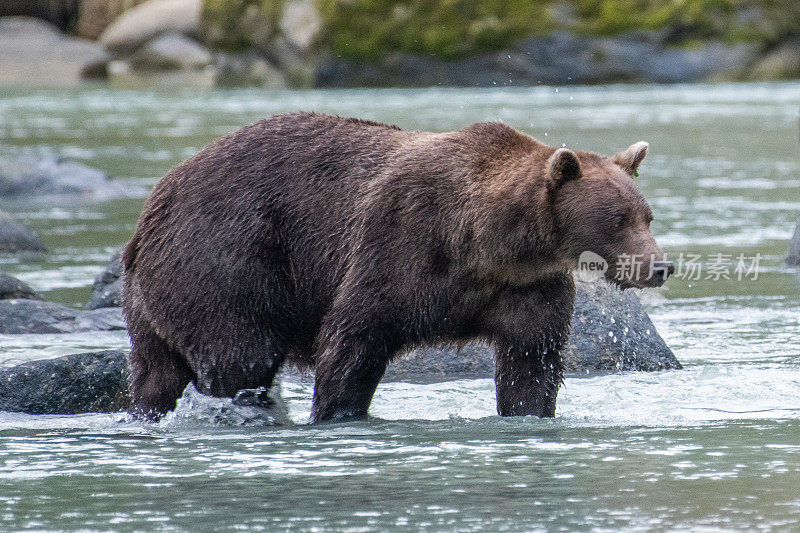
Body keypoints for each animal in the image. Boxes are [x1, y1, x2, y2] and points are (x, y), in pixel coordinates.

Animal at [122, 111, 672, 420]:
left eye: (646, 215)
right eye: (617, 219)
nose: (660, 266)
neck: (489, 244)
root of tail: (155, 204)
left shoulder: (527, 289)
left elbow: (530, 365)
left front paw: (530, 410)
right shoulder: (400, 245)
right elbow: (354, 339)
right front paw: (338, 412)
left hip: (154, 299)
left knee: (156, 374)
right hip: (225, 256)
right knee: (239, 353)